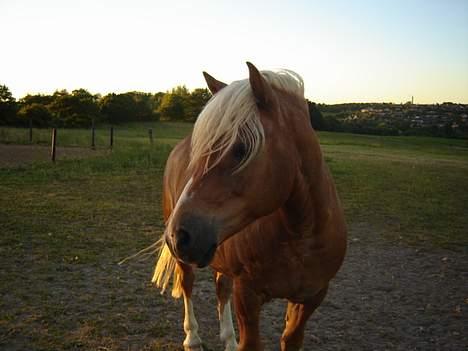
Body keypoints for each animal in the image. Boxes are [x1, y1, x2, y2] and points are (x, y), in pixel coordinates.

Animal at [152, 62, 346, 350]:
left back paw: (228, 340)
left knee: (221, 289)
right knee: (187, 284)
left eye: (241, 148)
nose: (178, 236)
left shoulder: (310, 298)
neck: (302, 238)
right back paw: (192, 338)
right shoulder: (247, 296)